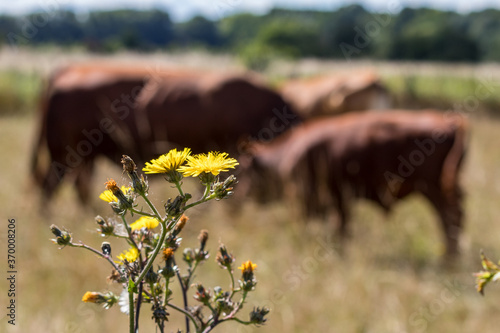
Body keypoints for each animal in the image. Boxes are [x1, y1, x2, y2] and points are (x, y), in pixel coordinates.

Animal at [240, 109, 466, 254]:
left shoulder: (319, 199)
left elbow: (337, 226)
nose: (242, 195)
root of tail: (451, 123)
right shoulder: (338, 201)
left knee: (449, 217)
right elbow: (340, 226)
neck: (290, 153)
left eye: (247, 169)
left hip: (433, 189)